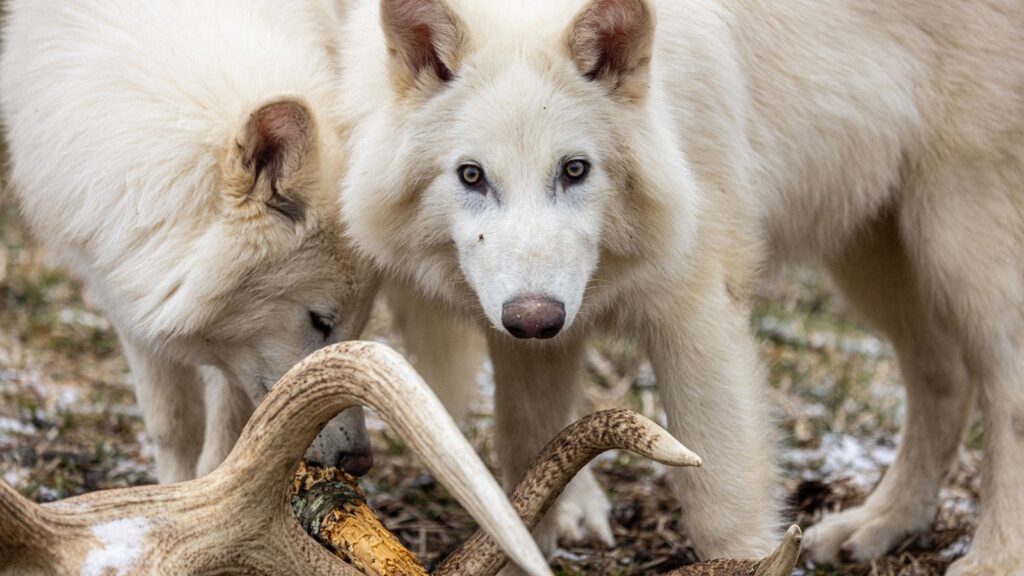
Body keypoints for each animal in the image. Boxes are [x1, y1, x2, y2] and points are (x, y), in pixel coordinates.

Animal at [0, 0, 379, 483]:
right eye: (320, 321)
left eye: (357, 326)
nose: (360, 462)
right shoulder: (124, 297)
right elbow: (171, 424)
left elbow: (229, 435)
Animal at [335, 0, 1024, 573]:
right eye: (472, 176)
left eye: (575, 169)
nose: (535, 318)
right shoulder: (528, 337)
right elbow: (527, 467)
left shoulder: (697, 314)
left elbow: (722, 509)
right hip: (873, 256)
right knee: (944, 377)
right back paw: (880, 526)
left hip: (959, 243)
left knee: (1002, 392)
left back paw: (992, 559)